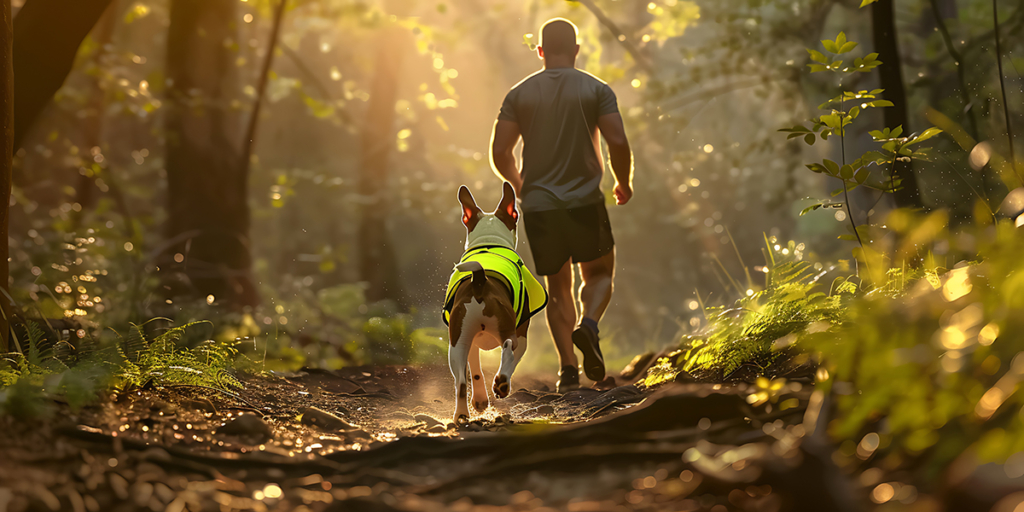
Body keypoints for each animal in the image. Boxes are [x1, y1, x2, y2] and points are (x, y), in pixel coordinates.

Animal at [442, 182, 548, 421]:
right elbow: (513, 358)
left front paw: (480, 401)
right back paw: (502, 384)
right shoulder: (522, 331)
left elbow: (476, 370)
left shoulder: (470, 341)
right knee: (509, 348)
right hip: (510, 329)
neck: (489, 243)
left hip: (457, 343)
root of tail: (480, 280)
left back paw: (461, 415)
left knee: (460, 382)